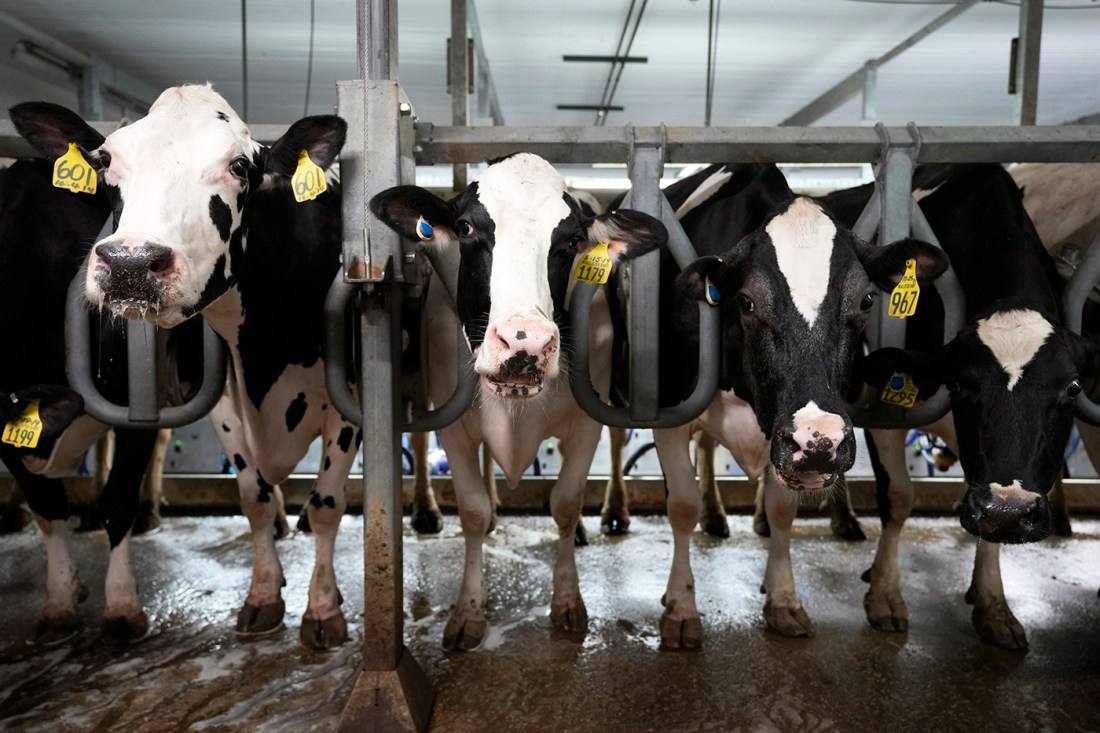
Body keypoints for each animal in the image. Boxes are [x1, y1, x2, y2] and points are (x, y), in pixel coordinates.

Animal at [13, 82, 356, 647]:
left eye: (239, 165)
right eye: (107, 159)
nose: (130, 263)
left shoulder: (347, 399)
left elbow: (327, 505)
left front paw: (323, 609)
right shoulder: (223, 400)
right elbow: (253, 498)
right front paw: (264, 595)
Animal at [369, 150, 664, 647]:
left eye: (573, 240)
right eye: (466, 227)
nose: (526, 343)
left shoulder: (586, 423)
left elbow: (565, 502)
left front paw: (567, 602)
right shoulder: (454, 425)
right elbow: (470, 509)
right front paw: (468, 612)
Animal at [642, 162, 946, 642]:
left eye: (866, 300)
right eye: (746, 302)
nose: (819, 441)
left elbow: (782, 509)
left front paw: (783, 598)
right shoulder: (670, 409)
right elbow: (681, 505)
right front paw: (680, 608)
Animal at [827, 162, 1100, 647]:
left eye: (1071, 388)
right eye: (955, 382)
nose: (1010, 509)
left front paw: (992, 603)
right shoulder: (883, 407)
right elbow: (897, 497)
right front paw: (885, 596)